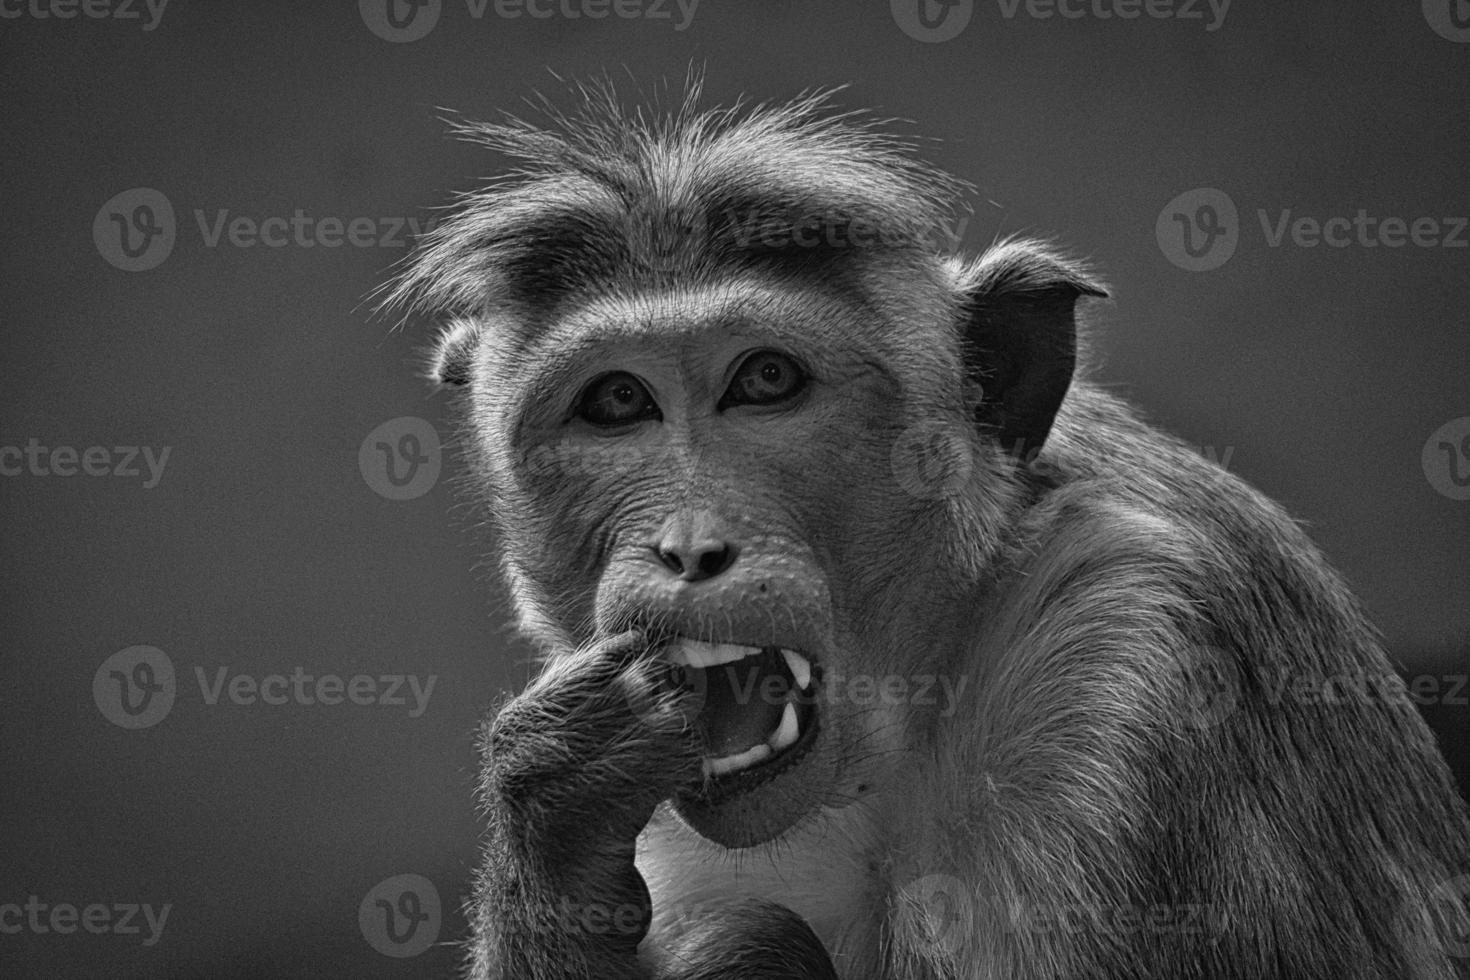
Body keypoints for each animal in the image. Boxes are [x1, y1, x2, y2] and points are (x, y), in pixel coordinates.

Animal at [388, 84, 1470, 980]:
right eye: (617, 401)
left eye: (766, 380)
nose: (689, 548)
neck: (907, 719)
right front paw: (555, 804)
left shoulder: (1130, 661)